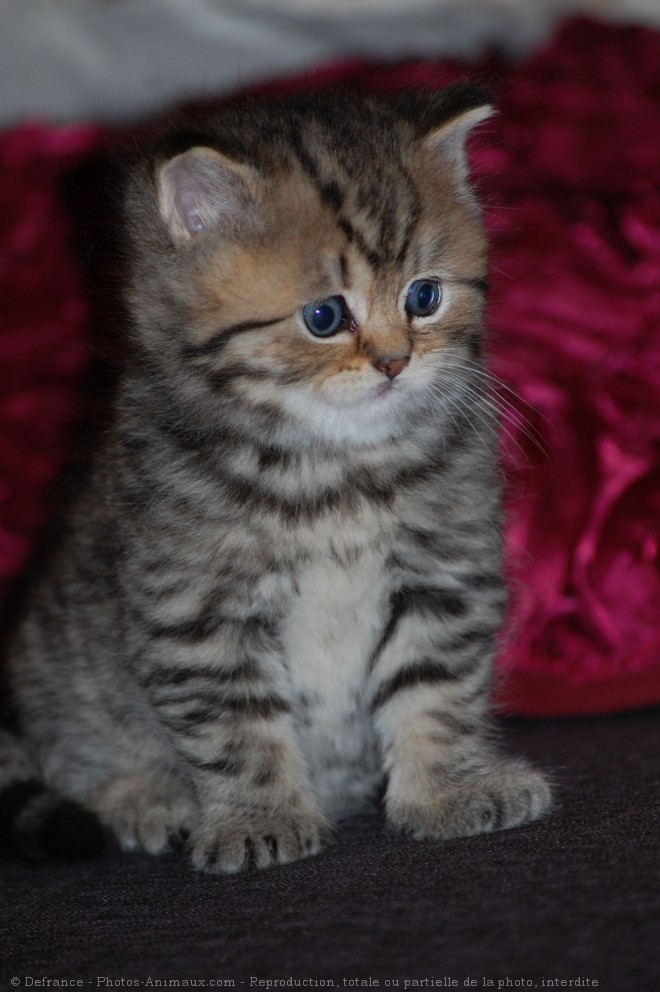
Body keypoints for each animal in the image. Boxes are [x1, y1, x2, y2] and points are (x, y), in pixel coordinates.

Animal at [0, 87, 552, 876]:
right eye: (325, 315)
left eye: (424, 297)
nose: (395, 363)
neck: (332, 467)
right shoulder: (198, 606)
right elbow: (237, 724)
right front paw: (259, 818)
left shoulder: (444, 572)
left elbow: (435, 689)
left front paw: (449, 789)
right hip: (57, 663)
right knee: (71, 750)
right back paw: (143, 796)